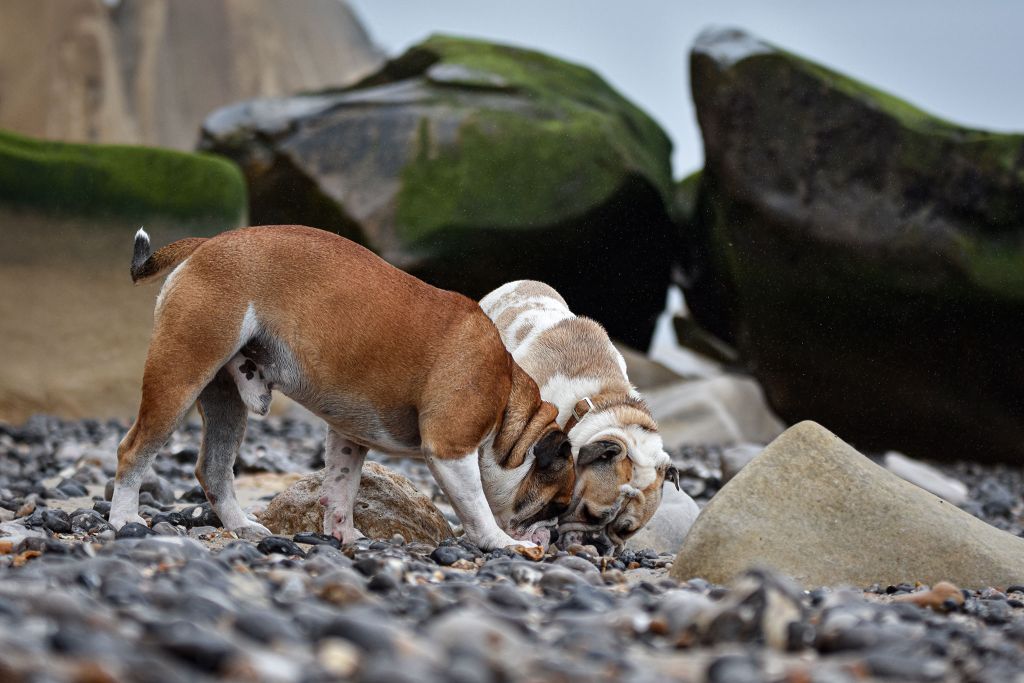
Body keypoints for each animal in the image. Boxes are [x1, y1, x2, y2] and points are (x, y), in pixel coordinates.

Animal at [114, 227, 577, 552]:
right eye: (555, 506)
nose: (552, 535)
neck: (508, 400)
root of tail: (208, 243)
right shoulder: (451, 449)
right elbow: (477, 507)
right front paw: (501, 542)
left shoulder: (348, 438)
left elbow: (341, 489)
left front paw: (344, 535)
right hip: (180, 375)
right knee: (134, 451)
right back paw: (123, 520)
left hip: (224, 399)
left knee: (214, 467)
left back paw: (241, 525)